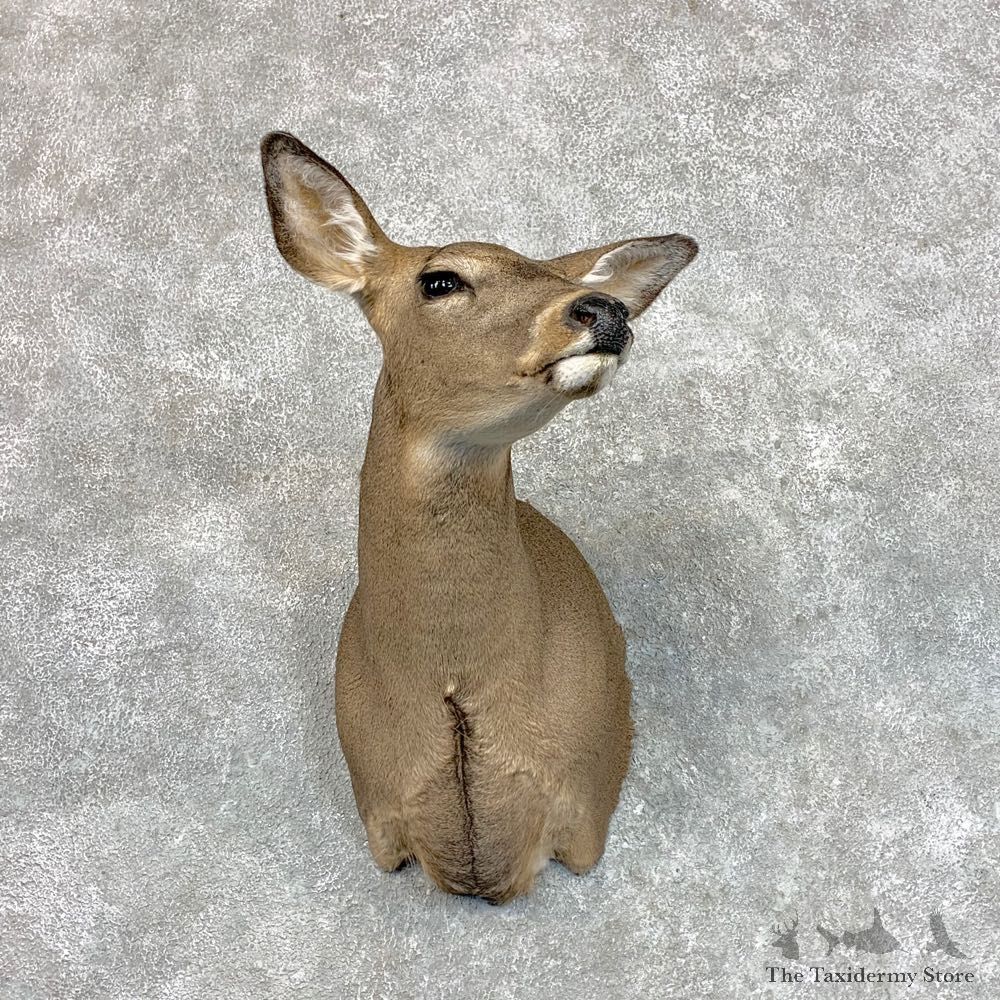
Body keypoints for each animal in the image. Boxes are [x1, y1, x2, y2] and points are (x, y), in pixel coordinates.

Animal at [260, 132, 698, 904]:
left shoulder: (587, 808)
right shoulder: (380, 819)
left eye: (550, 274)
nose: (603, 309)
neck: (456, 691)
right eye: (440, 280)